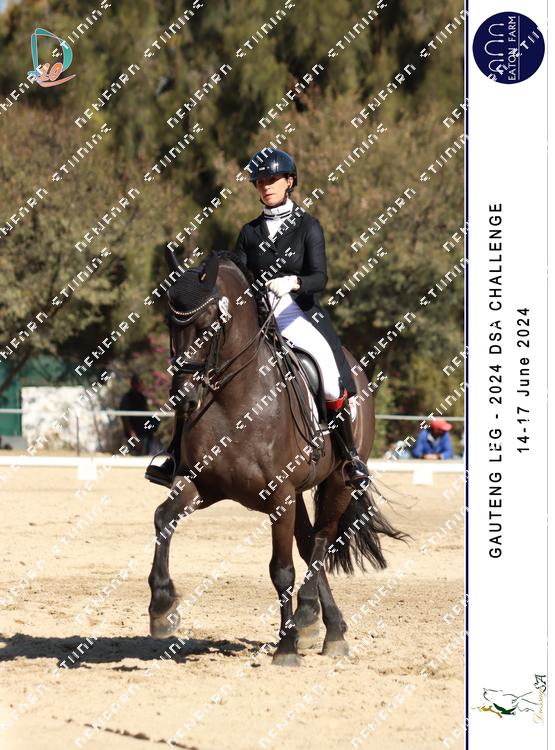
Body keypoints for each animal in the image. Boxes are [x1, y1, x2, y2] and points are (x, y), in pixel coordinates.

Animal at [147, 249, 407, 666]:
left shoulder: (279, 495)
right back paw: (324, 625)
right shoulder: (202, 485)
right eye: (170, 323)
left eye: (209, 325)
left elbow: (281, 570)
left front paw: (286, 646)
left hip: (338, 482)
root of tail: (355, 369)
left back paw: (313, 620)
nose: (184, 399)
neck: (235, 401)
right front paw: (162, 608)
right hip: (297, 495)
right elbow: (162, 519)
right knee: (309, 543)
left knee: (319, 544)